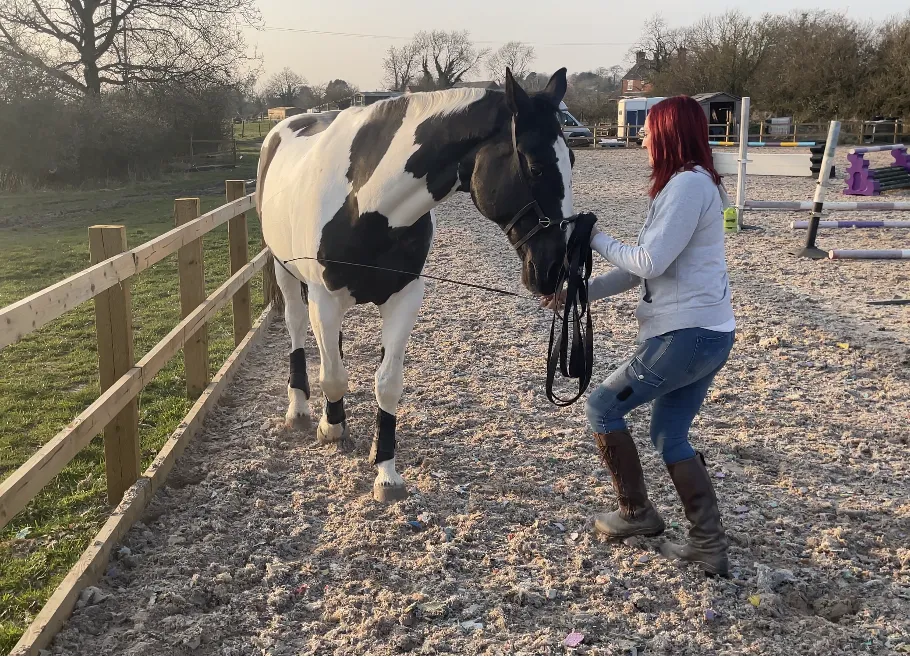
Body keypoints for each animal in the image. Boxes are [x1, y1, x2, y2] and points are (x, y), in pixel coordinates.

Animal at [257, 68, 576, 502]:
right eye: (536, 167)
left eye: (572, 159)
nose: (554, 269)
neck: (365, 202)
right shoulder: (324, 298)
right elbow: (334, 375)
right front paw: (331, 427)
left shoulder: (404, 298)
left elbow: (387, 383)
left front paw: (386, 471)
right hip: (285, 274)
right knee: (296, 329)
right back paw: (301, 410)